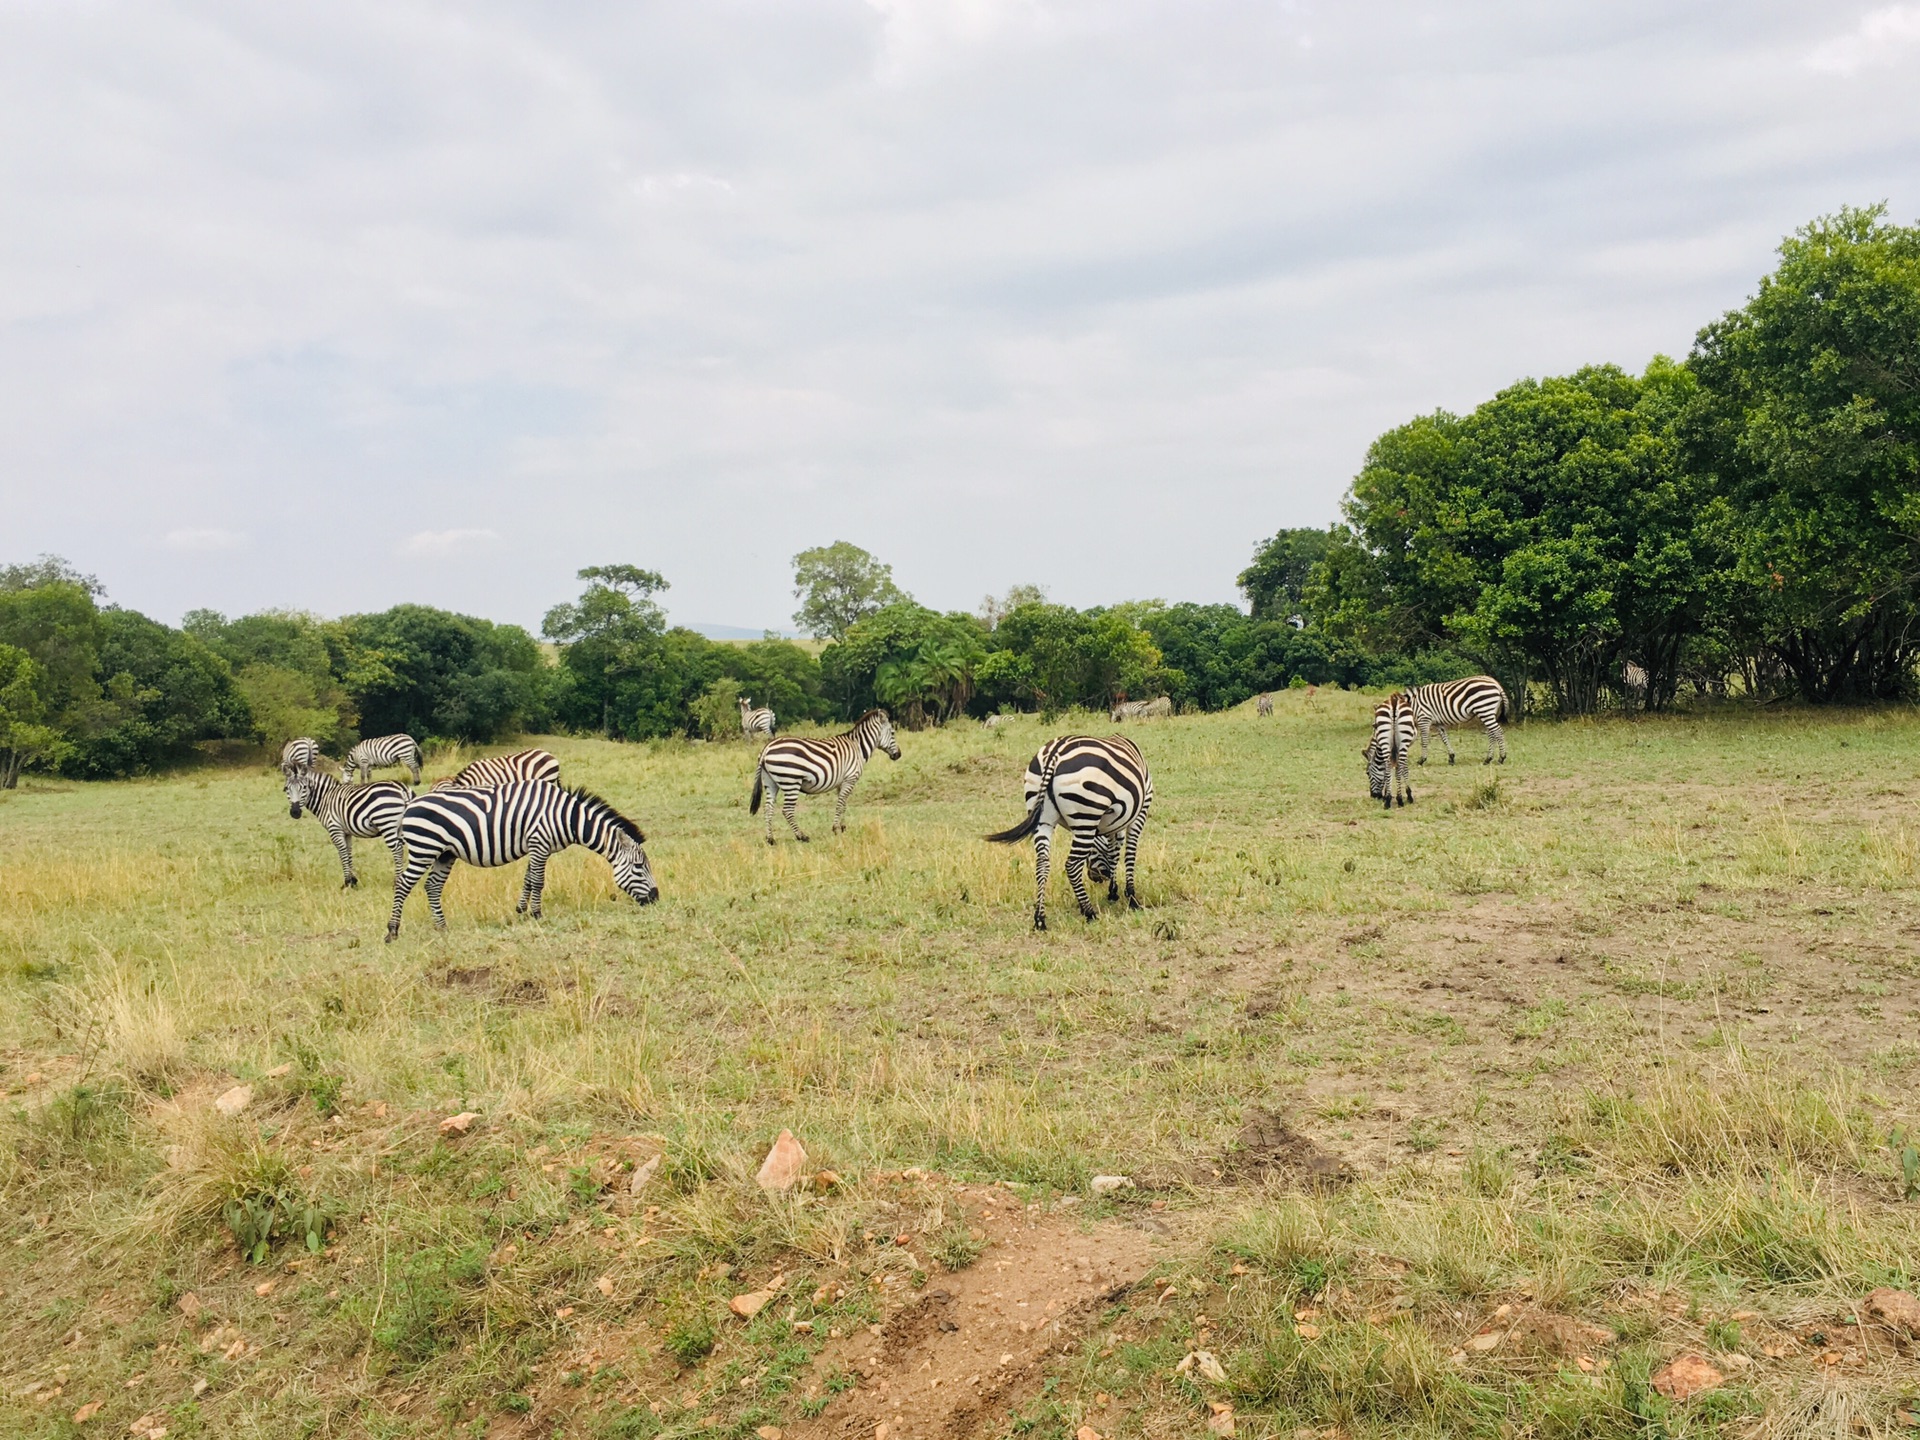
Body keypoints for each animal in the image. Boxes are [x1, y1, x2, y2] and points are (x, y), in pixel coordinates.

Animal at [385, 783, 656, 940]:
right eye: (639, 867)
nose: (656, 898)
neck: (566, 818)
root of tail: (409, 805)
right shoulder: (540, 841)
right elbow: (538, 880)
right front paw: (536, 914)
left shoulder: (537, 846)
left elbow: (528, 878)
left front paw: (521, 910)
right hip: (424, 848)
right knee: (403, 885)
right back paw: (392, 930)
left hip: (444, 854)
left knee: (432, 886)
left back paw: (442, 927)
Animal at [748, 710, 898, 844]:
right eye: (893, 733)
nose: (898, 755)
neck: (858, 747)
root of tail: (767, 748)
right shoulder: (850, 779)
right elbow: (840, 805)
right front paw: (836, 829)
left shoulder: (841, 782)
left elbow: (843, 804)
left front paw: (842, 827)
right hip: (792, 782)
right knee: (787, 811)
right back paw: (802, 836)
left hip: (770, 782)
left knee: (768, 809)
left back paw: (770, 839)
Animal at [990, 733, 1152, 936]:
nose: (1095, 877)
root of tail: (1054, 752)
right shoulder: (1141, 810)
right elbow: (1129, 853)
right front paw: (1132, 898)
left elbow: (1115, 850)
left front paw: (1113, 891)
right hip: (1086, 813)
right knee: (1072, 865)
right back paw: (1090, 912)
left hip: (1042, 818)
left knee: (1042, 863)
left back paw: (1040, 919)